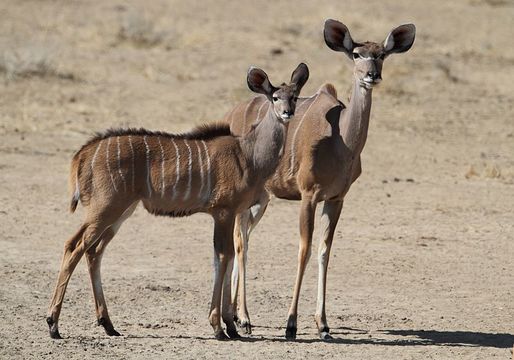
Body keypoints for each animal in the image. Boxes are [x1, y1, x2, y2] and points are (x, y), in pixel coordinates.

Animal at [46, 62, 308, 340]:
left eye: (295, 96)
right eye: (275, 97)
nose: (288, 112)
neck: (248, 154)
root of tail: (82, 155)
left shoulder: (230, 213)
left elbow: (227, 258)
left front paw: (231, 326)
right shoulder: (223, 211)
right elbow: (223, 257)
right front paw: (219, 327)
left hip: (121, 211)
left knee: (94, 251)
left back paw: (108, 324)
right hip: (105, 207)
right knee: (74, 246)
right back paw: (53, 324)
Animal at [226, 20, 414, 340]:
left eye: (382, 55)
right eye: (356, 54)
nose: (372, 76)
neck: (342, 145)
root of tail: (233, 113)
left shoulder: (336, 199)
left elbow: (325, 251)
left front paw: (323, 324)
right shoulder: (308, 195)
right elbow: (304, 249)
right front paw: (291, 324)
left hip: (262, 198)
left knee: (245, 236)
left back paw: (239, 317)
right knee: (240, 240)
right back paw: (245, 319)